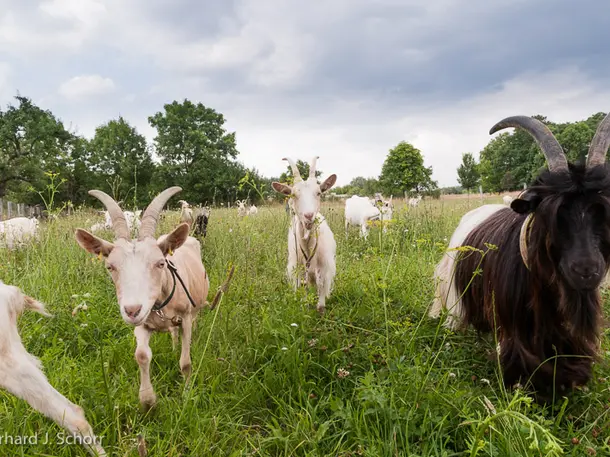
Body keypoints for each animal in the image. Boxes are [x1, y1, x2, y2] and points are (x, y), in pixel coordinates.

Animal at [74, 187, 211, 408]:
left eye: (160, 263)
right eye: (110, 266)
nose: (132, 310)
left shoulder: (185, 318)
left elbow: (186, 362)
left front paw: (187, 394)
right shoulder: (142, 324)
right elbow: (141, 355)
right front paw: (148, 400)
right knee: (172, 332)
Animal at [272, 157, 338, 314]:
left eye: (319, 193)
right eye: (293, 195)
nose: (309, 216)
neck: (309, 248)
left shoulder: (325, 268)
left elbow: (321, 295)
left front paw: (321, 310)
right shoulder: (298, 270)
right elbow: (303, 292)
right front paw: (304, 307)